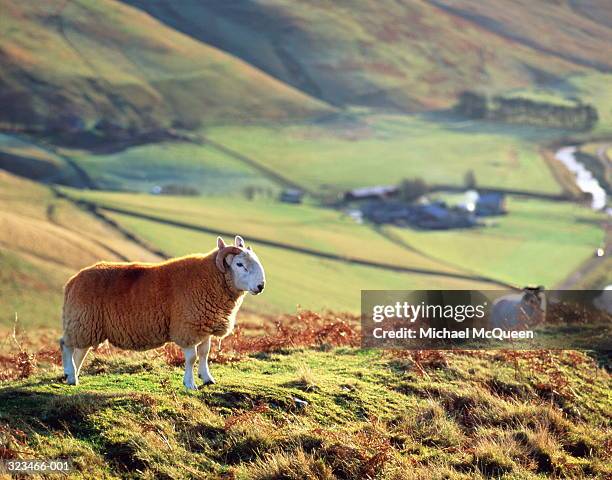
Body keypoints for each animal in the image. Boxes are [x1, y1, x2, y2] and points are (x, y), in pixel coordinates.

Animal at [59, 236, 266, 390]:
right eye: (239, 264)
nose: (260, 286)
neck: (210, 278)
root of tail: (72, 281)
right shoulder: (187, 326)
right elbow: (191, 358)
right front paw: (190, 384)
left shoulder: (204, 324)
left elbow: (204, 352)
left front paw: (207, 378)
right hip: (82, 320)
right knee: (66, 344)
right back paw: (71, 375)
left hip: (87, 325)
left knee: (80, 351)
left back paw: (73, 375)